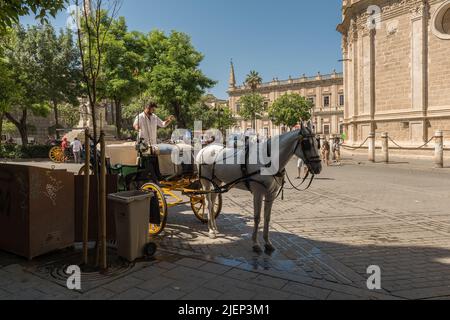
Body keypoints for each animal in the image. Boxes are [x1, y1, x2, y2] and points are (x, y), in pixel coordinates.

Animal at [195, 124, 322, 252]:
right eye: (306, 144)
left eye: (317, 143)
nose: (318, 167)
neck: (268, 160)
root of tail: (204, 149)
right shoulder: (258, 193)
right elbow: (257, 217)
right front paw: (255, 243)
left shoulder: (271, 194)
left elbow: (267, 217)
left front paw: (267, 242)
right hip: (206, 181)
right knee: (208, 203)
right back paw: (211, 230)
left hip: (217, 181)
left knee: (213, 201)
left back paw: (214, 227)